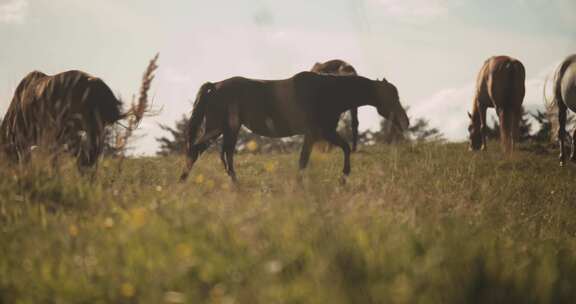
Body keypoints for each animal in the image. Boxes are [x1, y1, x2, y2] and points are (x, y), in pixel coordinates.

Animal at [180, 72, 410, 183]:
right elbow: (322, 155)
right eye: (392, 96)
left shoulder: (319, 134)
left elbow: (311, 158)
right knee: (200, 151)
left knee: (222, 154)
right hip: (219, 129)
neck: (328, 92)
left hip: (227, 129)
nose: (405, 122)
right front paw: (342, 177)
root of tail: (214, 86)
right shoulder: (319, 132)